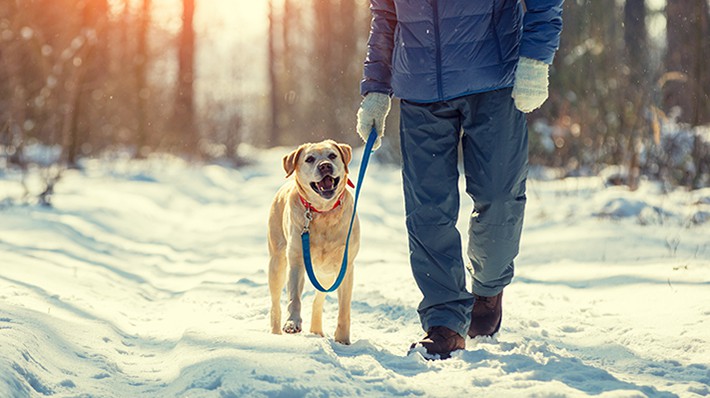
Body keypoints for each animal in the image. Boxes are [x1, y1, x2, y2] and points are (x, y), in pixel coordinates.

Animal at [272, 140, 364, 346]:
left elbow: (344, 308)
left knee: (318, 300)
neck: (323, 212)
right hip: (277, 263)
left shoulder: (346, 267)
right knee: (275, 303)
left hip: (326, 274)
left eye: (332, 155)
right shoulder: (297, 261)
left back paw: (316, 330)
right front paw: (292, 323)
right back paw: (275, 332)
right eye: (309, 159)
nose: (325, 166)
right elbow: (294, 298)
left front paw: (343, 339)